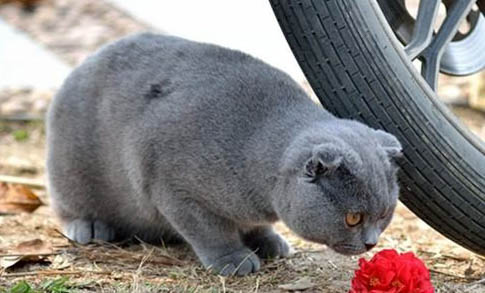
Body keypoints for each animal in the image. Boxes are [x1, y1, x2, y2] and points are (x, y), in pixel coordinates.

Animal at [46, 33, 400, 274]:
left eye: (383, 215)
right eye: (353, 218)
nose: (371, 242)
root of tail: (85, 60)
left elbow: (253, 225)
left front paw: (267, 240)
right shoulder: (175, 189)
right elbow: (211, 231)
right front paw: (234, 259)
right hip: (70, 171)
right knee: (68, 205)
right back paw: (90, 227)